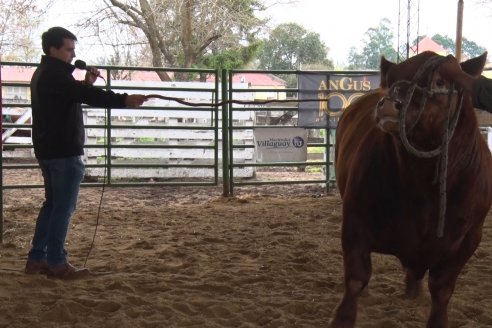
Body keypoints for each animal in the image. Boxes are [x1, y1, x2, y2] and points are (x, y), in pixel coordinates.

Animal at [330, 50, 492, 326]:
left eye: (439, 82)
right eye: (392, 79)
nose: (388, 103)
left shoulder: (469, 238)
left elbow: (442, 290)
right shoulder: (354, 220)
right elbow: (355, 279)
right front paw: (343, 318)